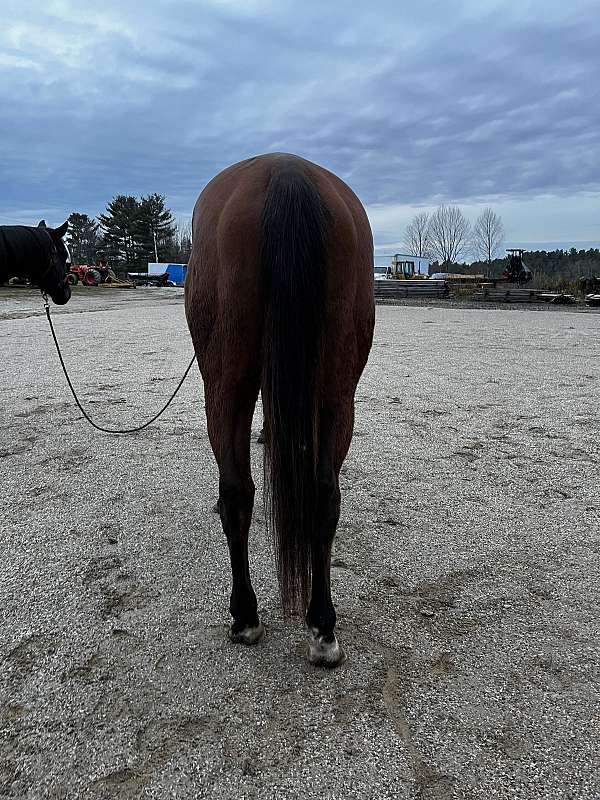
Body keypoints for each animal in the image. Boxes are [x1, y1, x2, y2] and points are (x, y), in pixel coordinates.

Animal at [185, 153, 374, 667]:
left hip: (225, 386)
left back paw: (245, 615)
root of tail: (286, 171)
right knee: (324, 496)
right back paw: (322, 626)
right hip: (336, 390)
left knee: (236, 493)